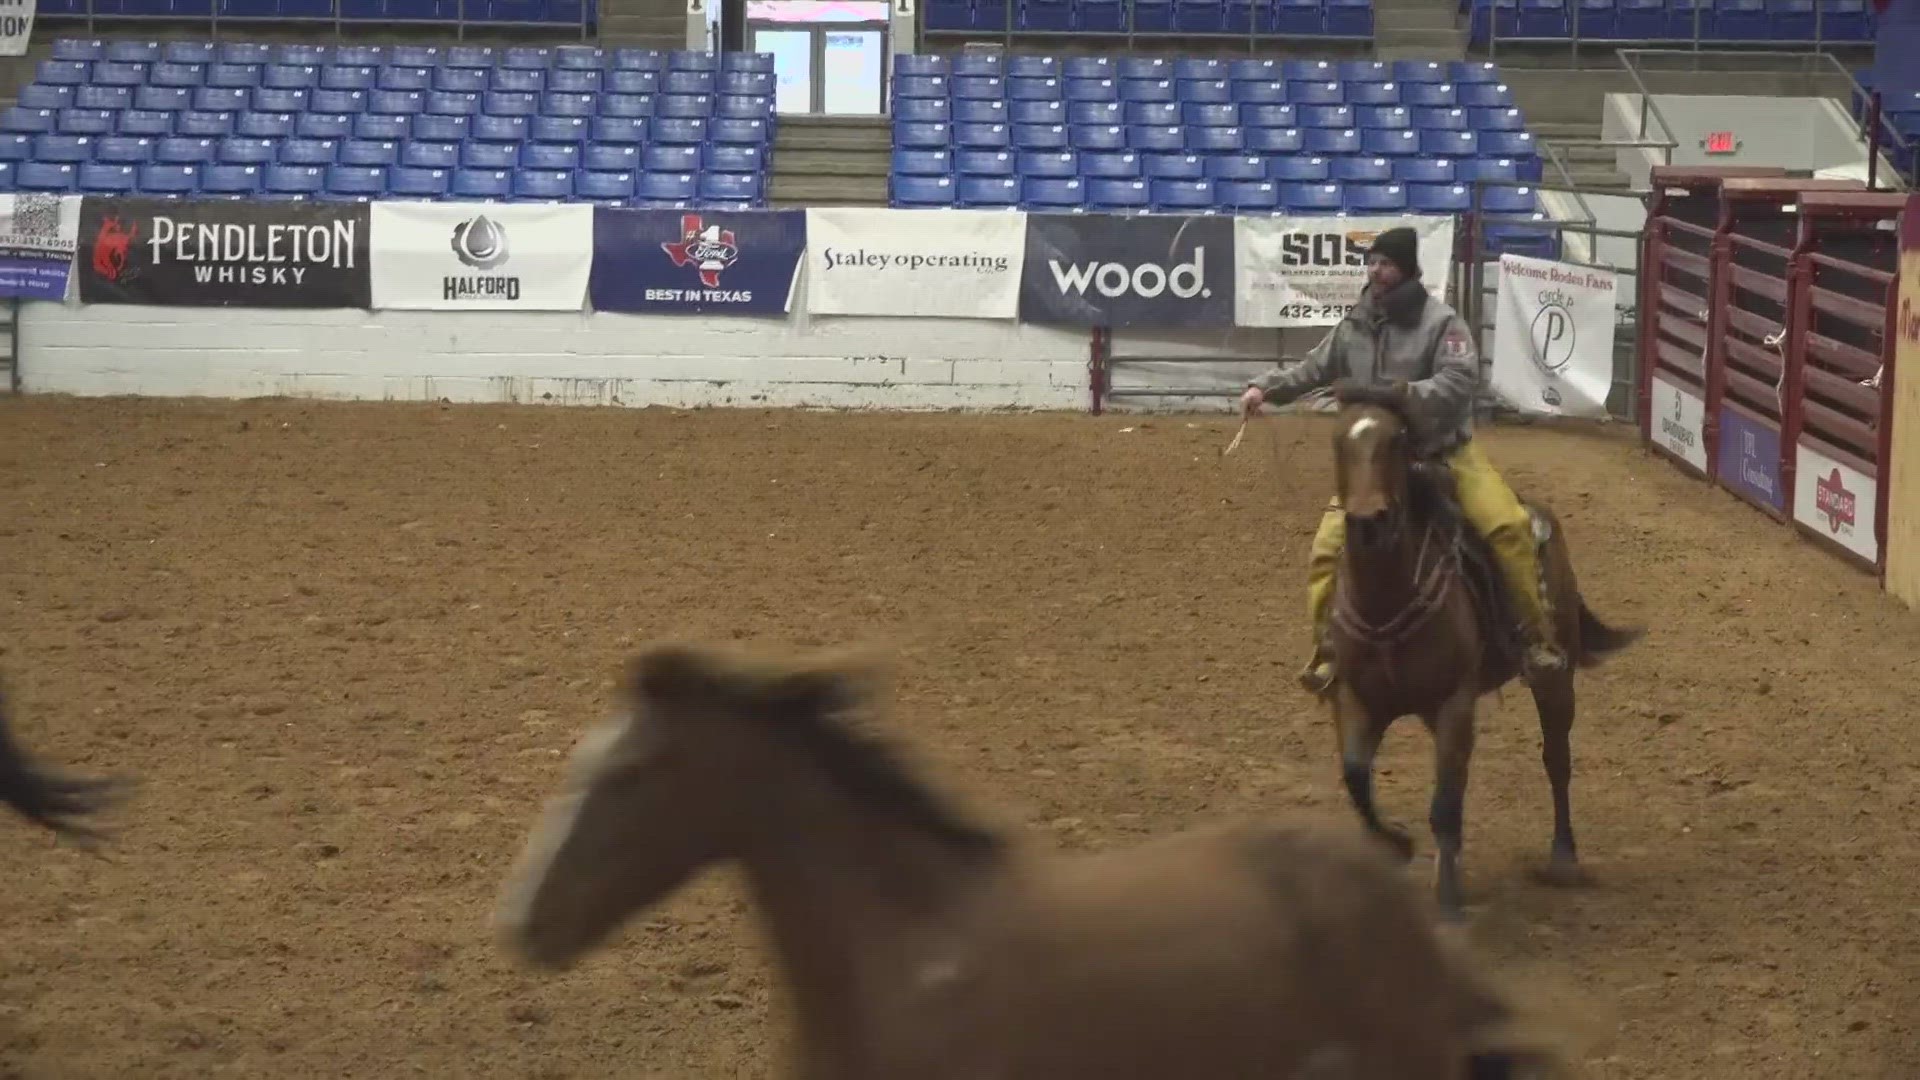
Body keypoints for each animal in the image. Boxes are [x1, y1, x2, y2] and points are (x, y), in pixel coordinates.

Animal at [1328, 382, 1643, 922]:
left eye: (1396, 440)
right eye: (1338, 441)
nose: (1369, 520)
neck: (1388, 599)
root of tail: (1539, 515)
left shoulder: (1454, 705)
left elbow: (1445, 805)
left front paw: (1448, 902)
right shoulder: (1360, 700)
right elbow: (1356, 780)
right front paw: (1398, 846)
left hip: (1555, 679)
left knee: (1556, 760)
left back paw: (1563, 859)